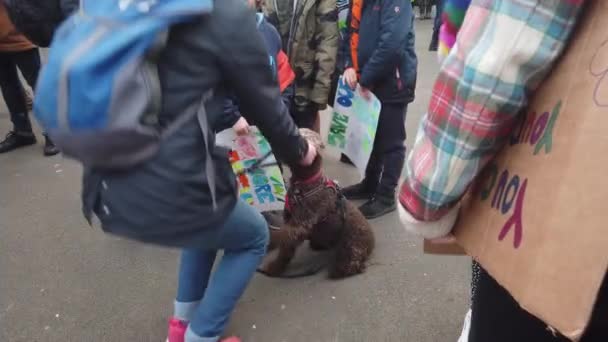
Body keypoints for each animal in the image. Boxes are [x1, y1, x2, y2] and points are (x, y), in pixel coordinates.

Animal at [262, 128, 376, 278]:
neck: (305, 183)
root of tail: (372, 242)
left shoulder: (299, 224)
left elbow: (283, 238)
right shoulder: (290, 220)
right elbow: (284, 250)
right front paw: (275, 267)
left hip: (352, 246)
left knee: (352, 263)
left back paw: (340, 269)